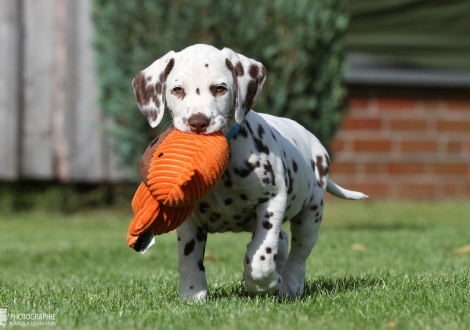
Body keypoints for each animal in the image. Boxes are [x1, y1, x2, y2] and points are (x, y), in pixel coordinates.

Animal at [131, 43, 368, 302]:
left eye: (220, 88)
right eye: (177, 90)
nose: (198, 122)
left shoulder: (272, 201)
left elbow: (260, 255)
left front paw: (263, 283)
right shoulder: (188, 218)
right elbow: (189, 258)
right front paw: (192, 295)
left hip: (311, 215)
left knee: (298, 255)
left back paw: (289, 285)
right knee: (283, 242)